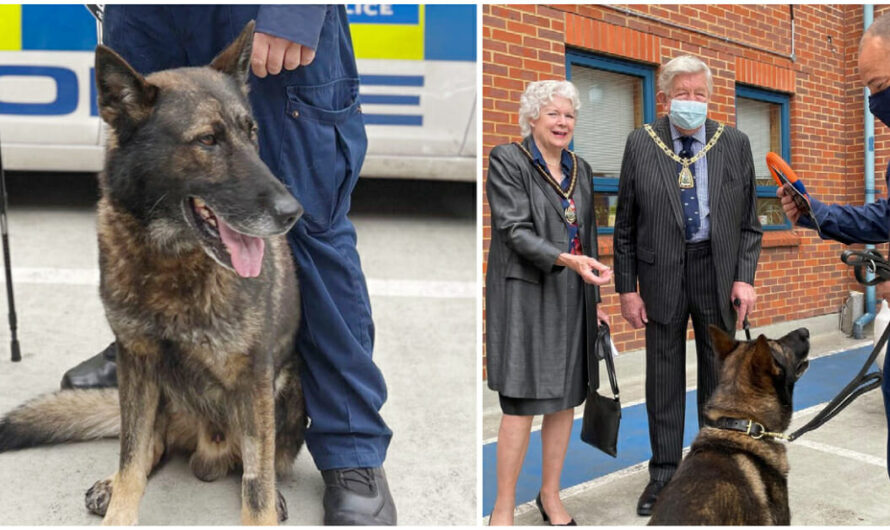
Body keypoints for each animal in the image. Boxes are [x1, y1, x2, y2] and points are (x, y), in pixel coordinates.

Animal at [0, 21, 306, 524]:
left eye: (252, 133)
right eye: (207, 140)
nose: (292, 213)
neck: (172, 258)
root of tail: (206, 446)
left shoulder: (254, 377)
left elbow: (256, 486)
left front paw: (262, 504)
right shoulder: (136, 361)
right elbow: (132, 461)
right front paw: (119, 506)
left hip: (287, 392)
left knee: (257, 464)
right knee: (148, 448)